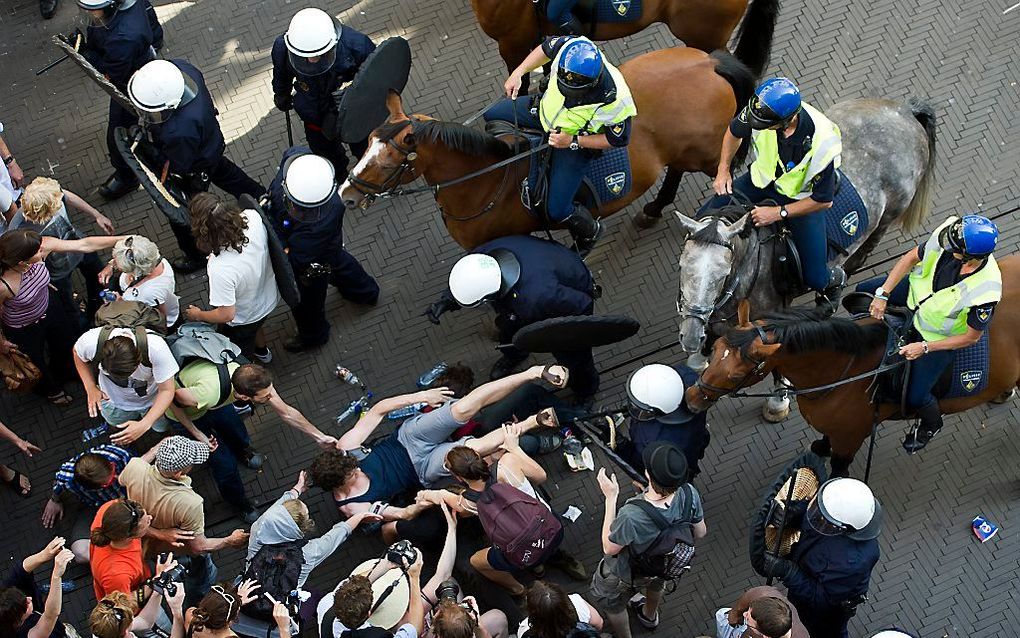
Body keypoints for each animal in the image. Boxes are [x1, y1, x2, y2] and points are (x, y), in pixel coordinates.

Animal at [340, 44, 758, 248]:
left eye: (387, 160)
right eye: (366, 147)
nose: (346, 194)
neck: (487, 182)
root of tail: (709, 64)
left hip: (710, 156)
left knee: (729, 185)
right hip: (684, 150)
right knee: (675, 171)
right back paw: (653, 209)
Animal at [673, 96, 934, 420]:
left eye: (722, 273)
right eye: (683, 265)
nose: (690, 336)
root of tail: (907, 112)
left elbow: (774, 363)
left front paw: (778, 401)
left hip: (886, 218)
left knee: (849, 262)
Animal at [681, 271, 1020, 475]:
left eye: (736, 374)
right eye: (715, 350)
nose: (692, 399)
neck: (844, 372)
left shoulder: (852, 438)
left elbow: (839, 469)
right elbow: (823, 441)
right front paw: (819, 447)